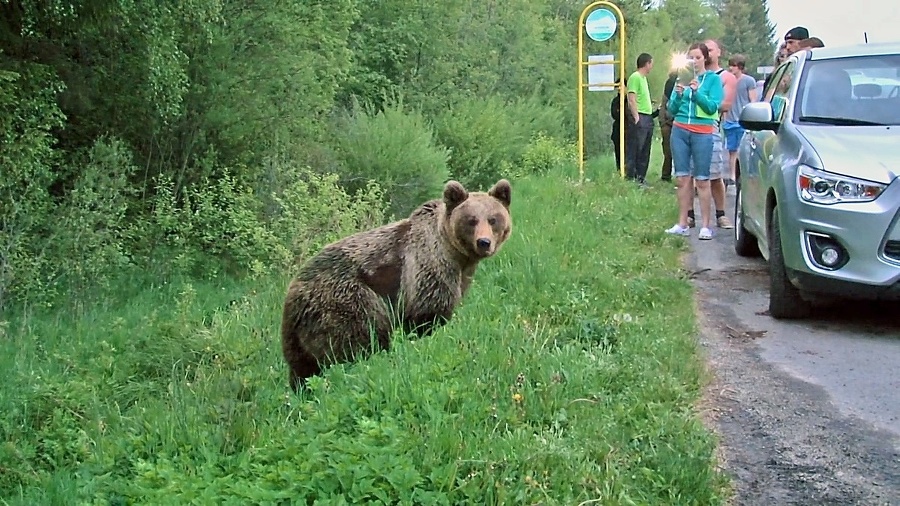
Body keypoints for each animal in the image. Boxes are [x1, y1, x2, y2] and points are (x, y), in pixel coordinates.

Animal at [282, 179, 510, 392]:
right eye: (471, 220)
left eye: (493, 219)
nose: (484, 242)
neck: (457, 256)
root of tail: (292, 294)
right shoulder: (426, 269)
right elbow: (427, 314)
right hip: (347, 299)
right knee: (362, 338)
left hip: (298, 339)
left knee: (302, 367)